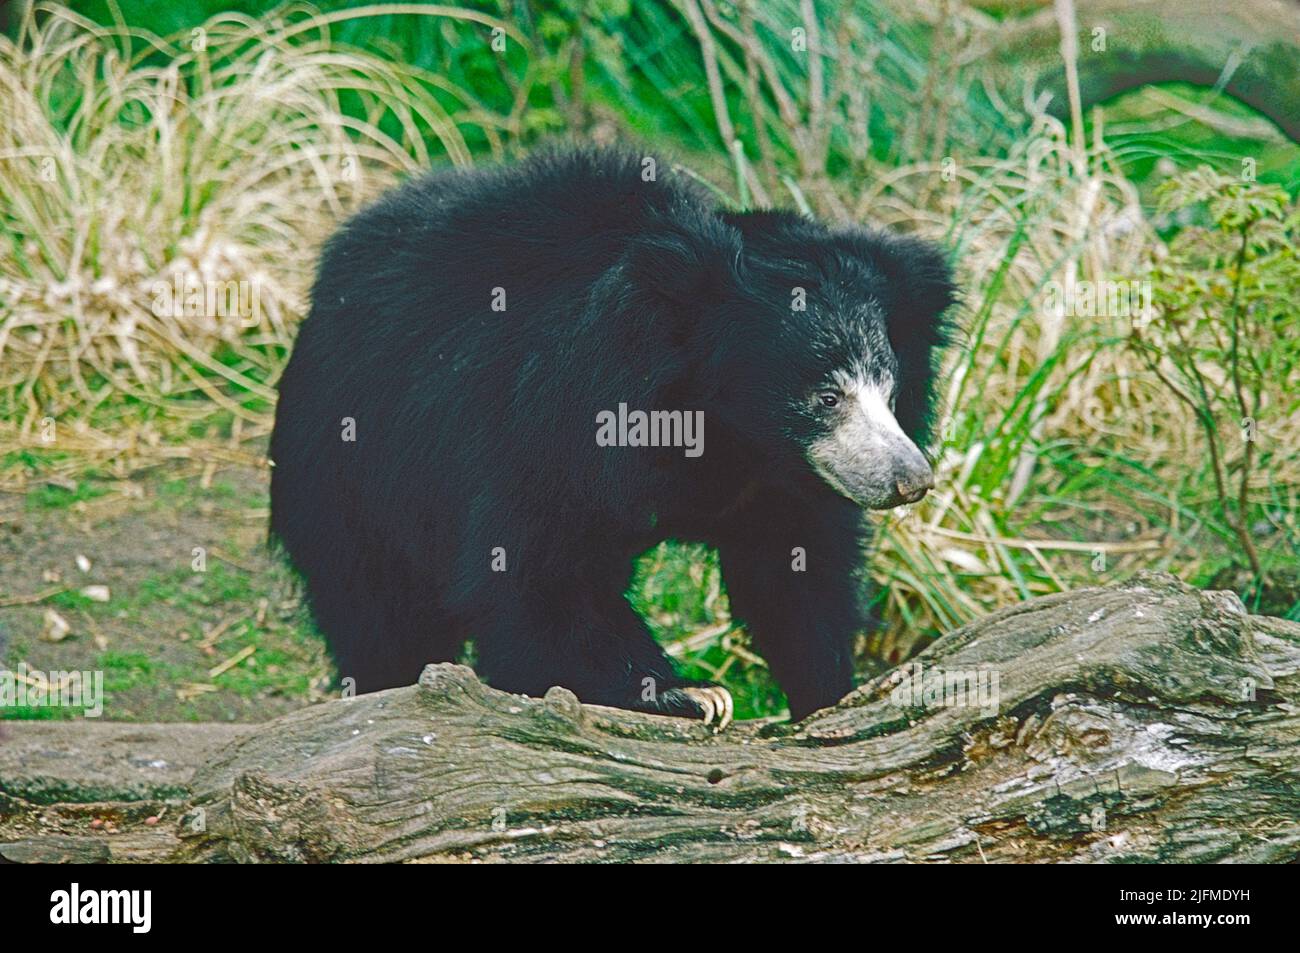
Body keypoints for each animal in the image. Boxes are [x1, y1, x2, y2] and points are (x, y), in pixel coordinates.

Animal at [269, 146, 956, 722]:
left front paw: (829, 692)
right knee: (377, 607)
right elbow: (541, 575)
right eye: (826, 396)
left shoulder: (783, 484)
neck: (728, 439)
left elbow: (799, 574)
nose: (911, 479)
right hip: (347, 466)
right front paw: (690, 695)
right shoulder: (550, 426)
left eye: (890, 390)